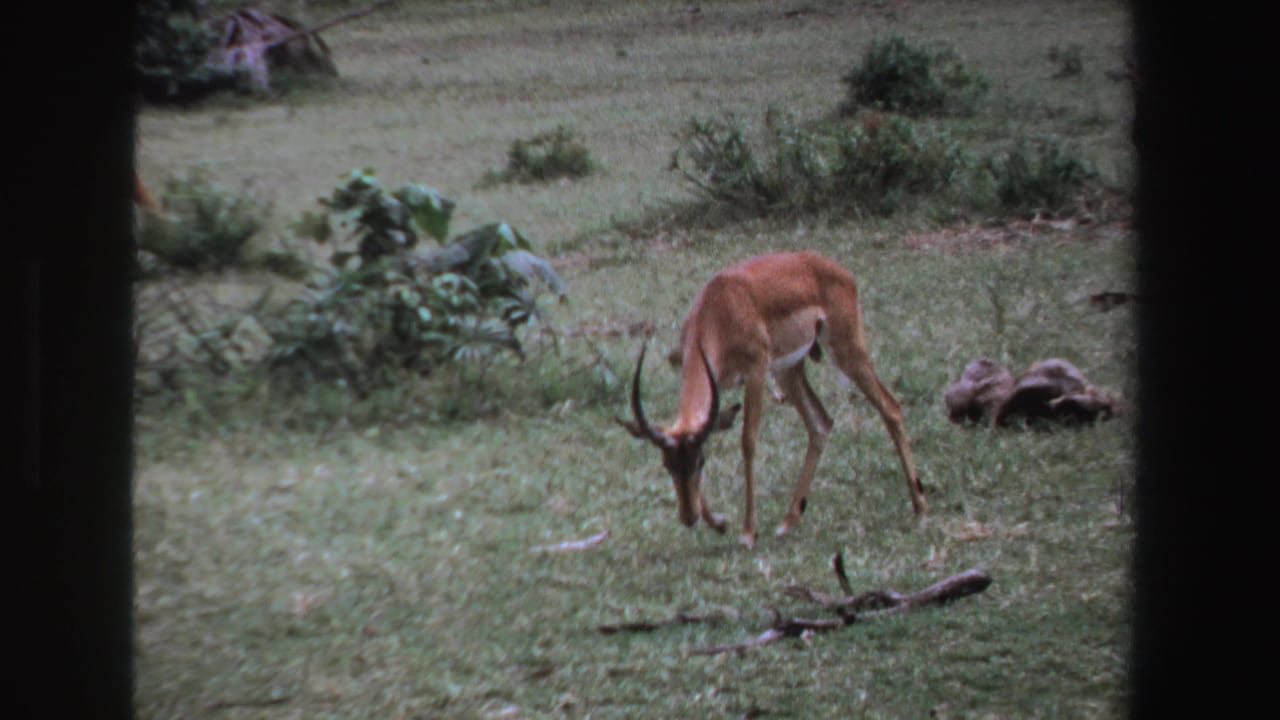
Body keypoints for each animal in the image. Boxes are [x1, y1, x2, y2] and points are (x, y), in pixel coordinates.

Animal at [618, 251, 927, 548]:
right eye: (668, 464)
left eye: (700, 463)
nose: (688, 517)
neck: (720, 306)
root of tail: (839, 271)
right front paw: (719, 523)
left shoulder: (755, 373)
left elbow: (748, 441)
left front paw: (748, 533)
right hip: (787, 371)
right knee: (821, 423)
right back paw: (788, 521)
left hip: (847, 351)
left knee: (891, 407)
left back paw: (920, 507)